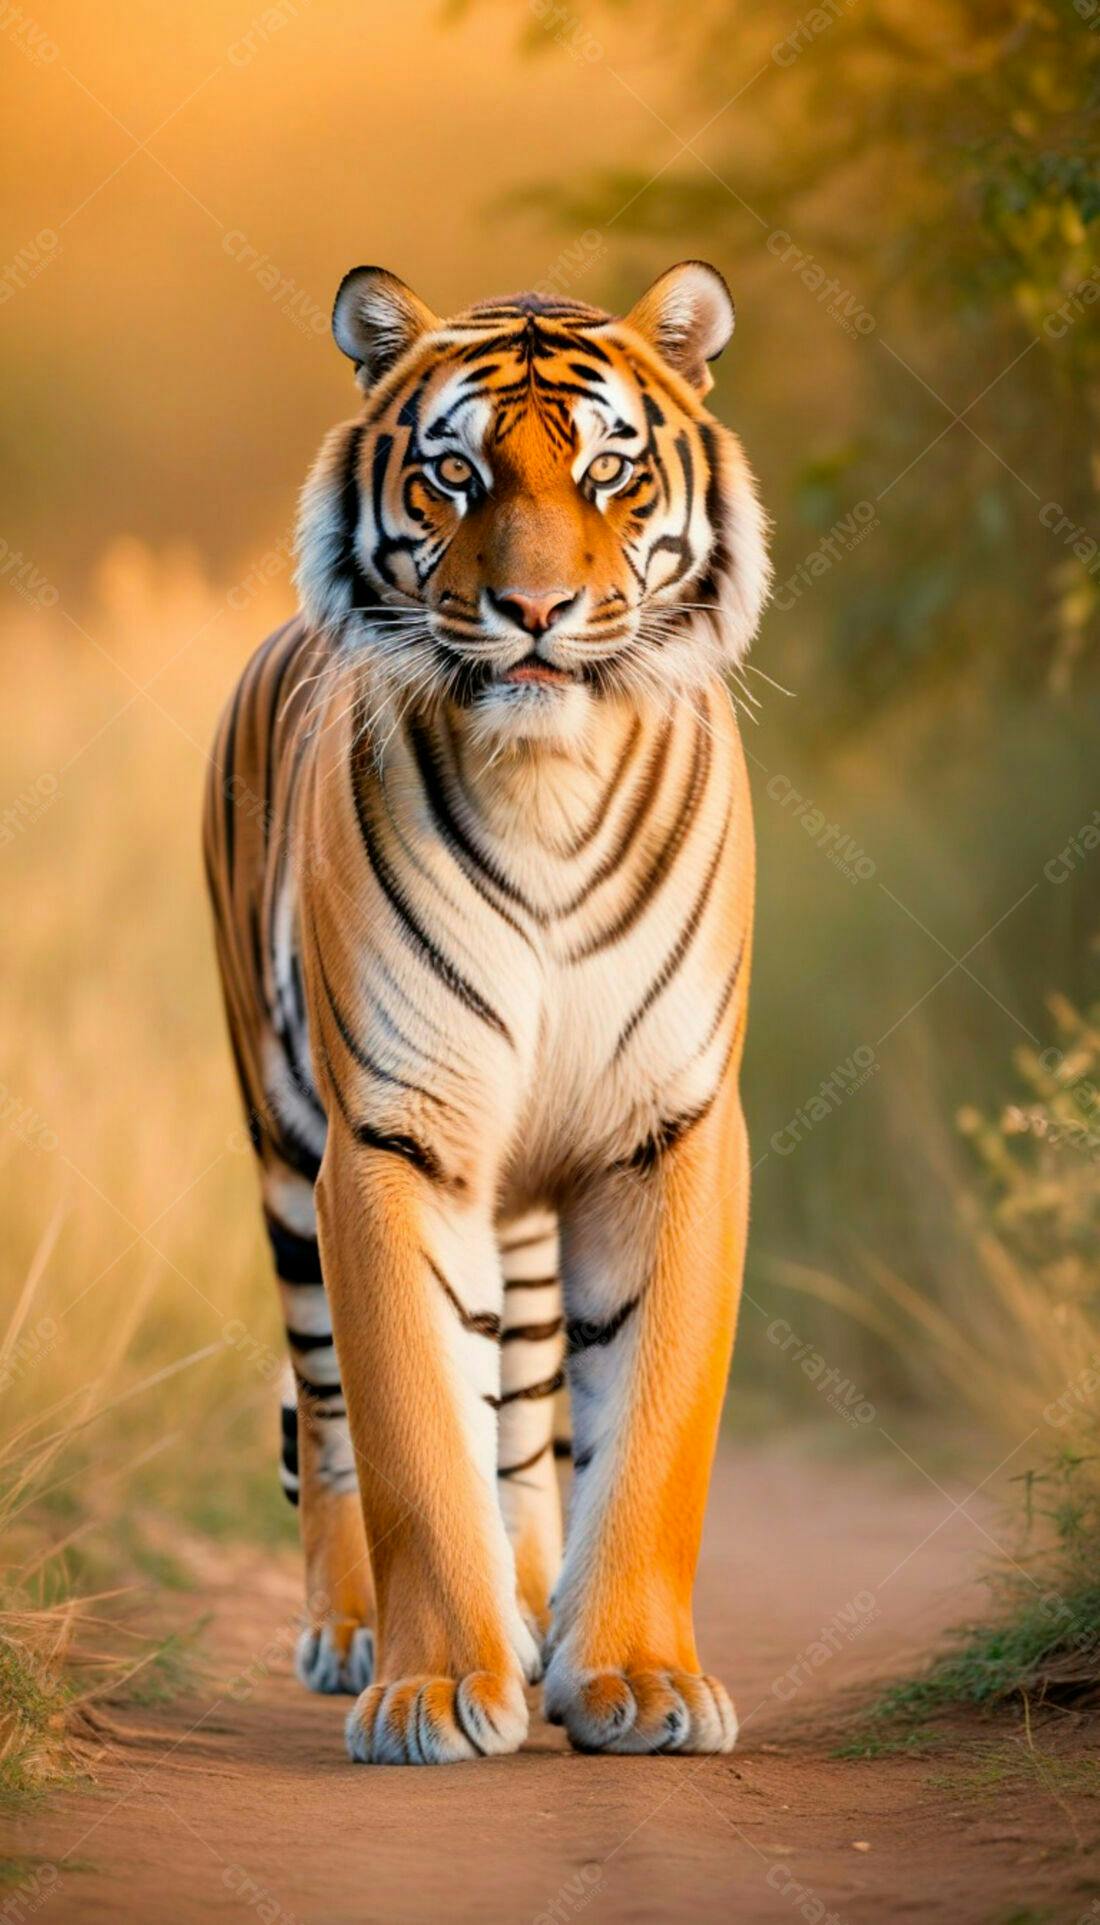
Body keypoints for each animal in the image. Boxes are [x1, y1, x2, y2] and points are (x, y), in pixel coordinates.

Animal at [203, 258, 770, 1764]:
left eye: (610, 471)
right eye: (453, 473)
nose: (531, 611)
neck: (546, 781)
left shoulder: (667, 1131)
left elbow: (649, 1430)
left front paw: (633, 1678)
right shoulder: (391, 1142)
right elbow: (410, 1426)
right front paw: (438, 1686)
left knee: (515, 1420)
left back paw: (529, 1607)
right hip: (283, 1153)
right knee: (333, 1408)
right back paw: (356, 1629)